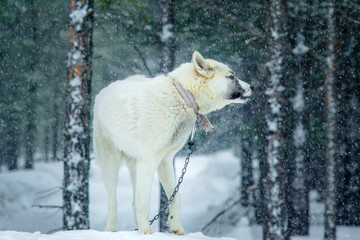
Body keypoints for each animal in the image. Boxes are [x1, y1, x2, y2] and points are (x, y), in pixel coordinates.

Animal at [92, 51, 253, 234]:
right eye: (232, 76)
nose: (252, 87)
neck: (182, 97)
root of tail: (104, 90)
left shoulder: (165, 161)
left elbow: (175, 199)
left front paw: (175, 226)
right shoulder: (149, 162)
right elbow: (144, 203)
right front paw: (146, 232)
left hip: (135, 167)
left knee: (133, 202)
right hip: (111, 165)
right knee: (113, 202)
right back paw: (111, 230)